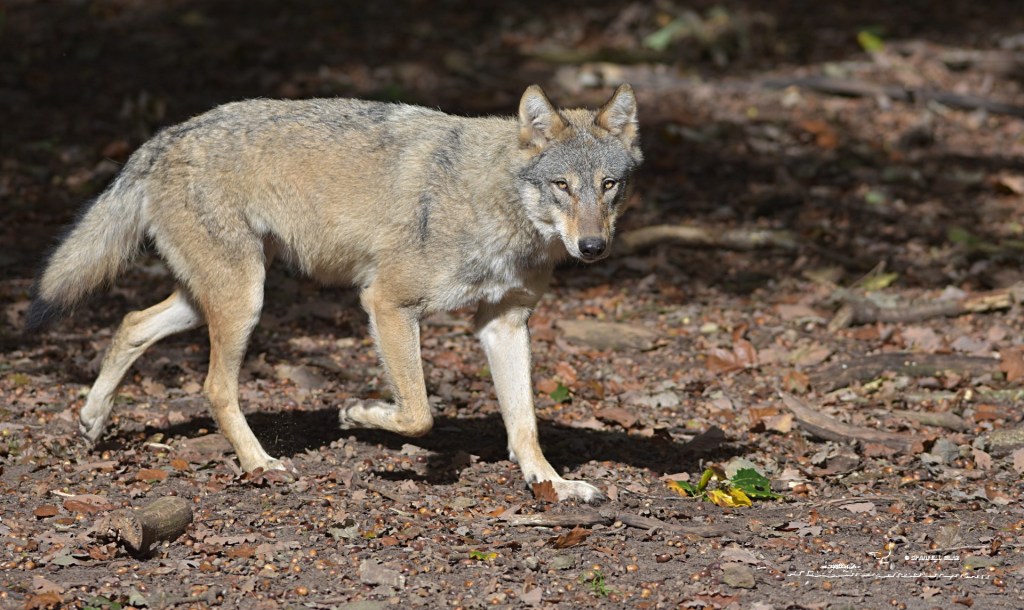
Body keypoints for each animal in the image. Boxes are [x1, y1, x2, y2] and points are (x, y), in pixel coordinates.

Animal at [27, 84, 642, 502]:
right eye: (562, 186)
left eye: (608, 186)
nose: (592, 246)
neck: (500, 203)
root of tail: (162, 137)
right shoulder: (386, 303)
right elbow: (419, 413)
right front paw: (358, 414)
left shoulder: (504, 325)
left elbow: (524, 422)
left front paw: (550, 483)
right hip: (244, 302)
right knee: (213, 387)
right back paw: (260, 464)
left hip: (215, 299)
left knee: (130, 322)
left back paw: (92, 421)